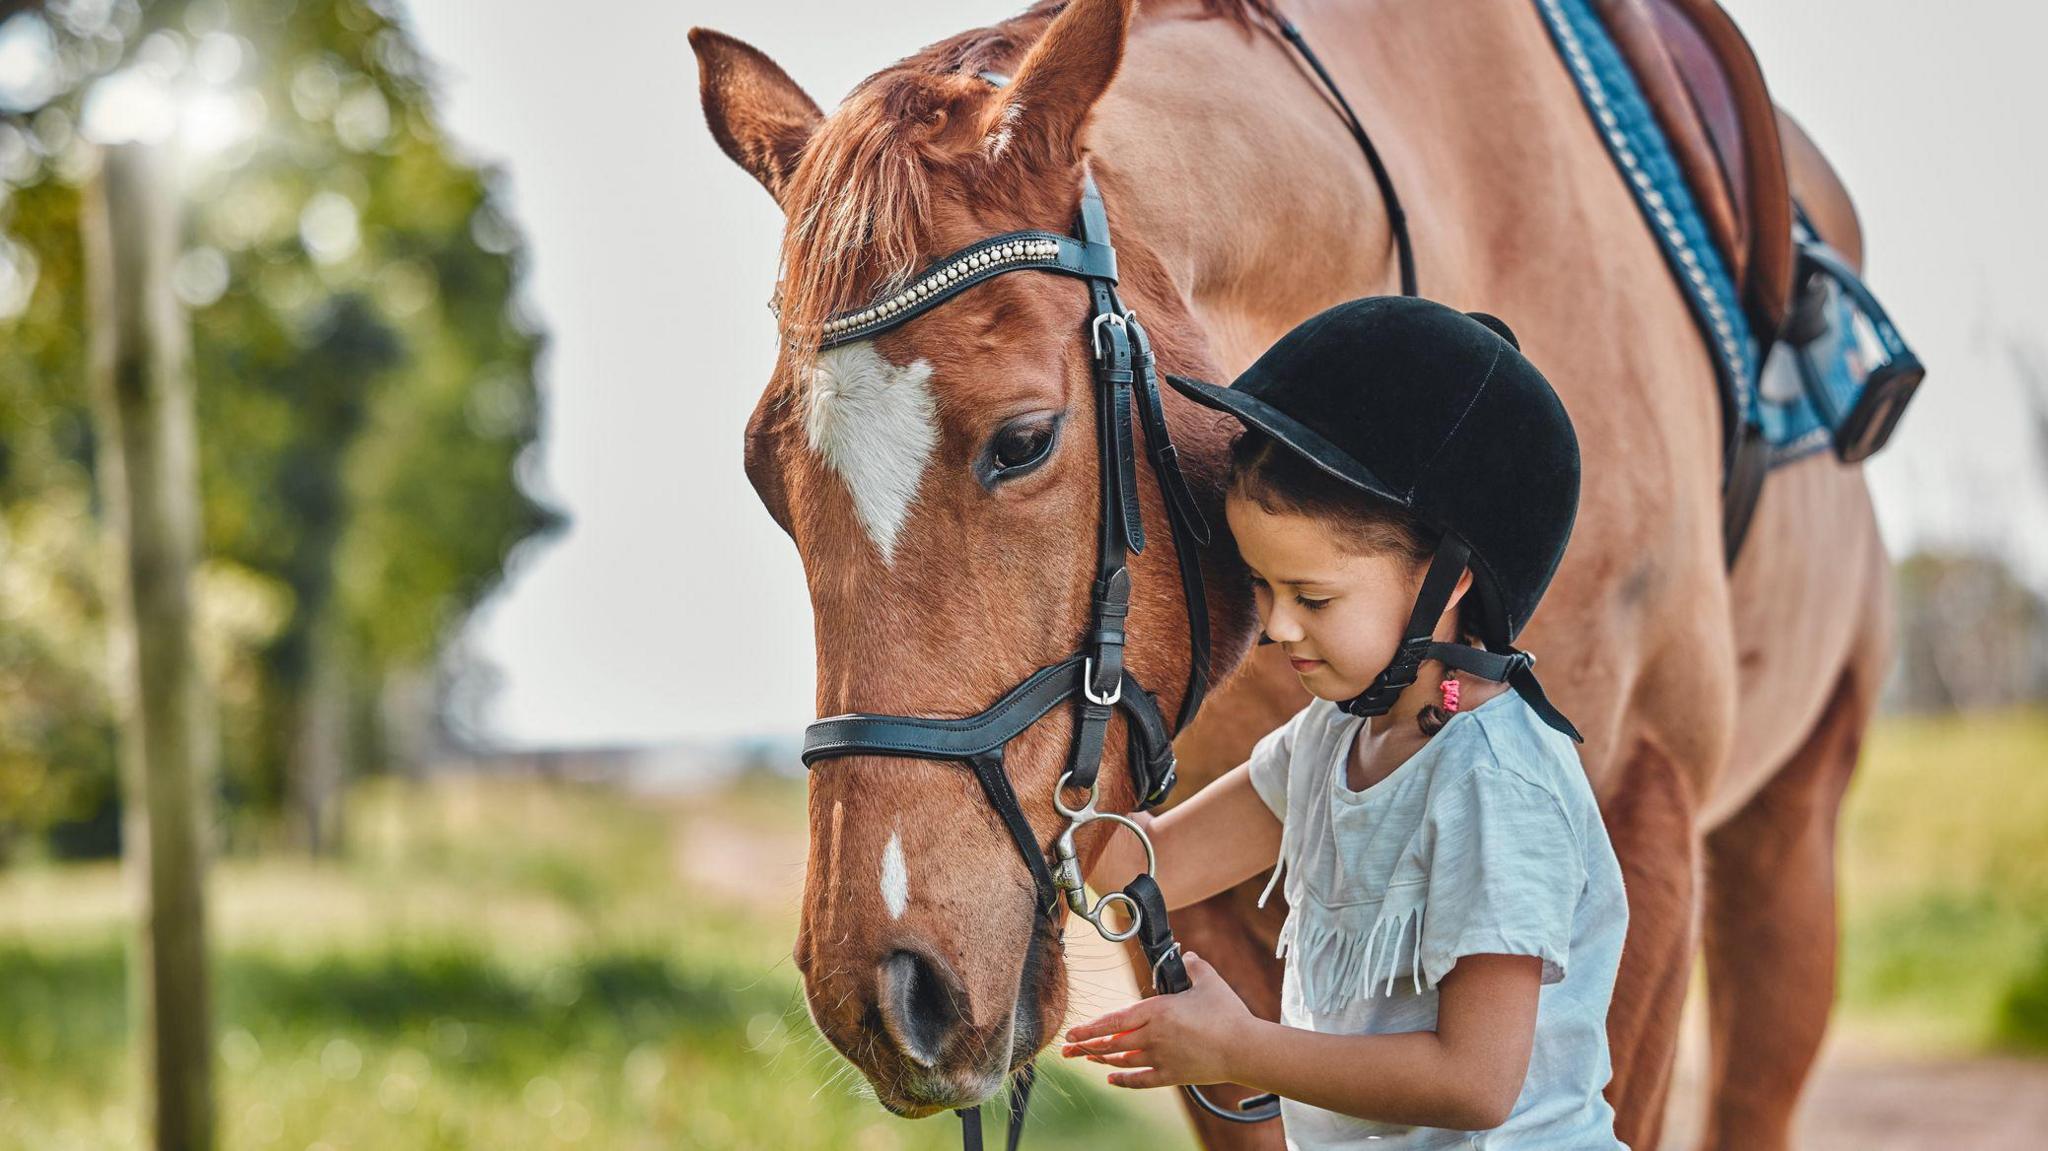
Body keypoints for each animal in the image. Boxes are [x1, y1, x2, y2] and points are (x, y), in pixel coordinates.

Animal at [696, 4, 1892, 1138]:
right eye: (762, 471)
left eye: (1023, 440)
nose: (884, 992)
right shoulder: (1189, 891)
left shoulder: (1642, 829)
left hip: (1784, 851)